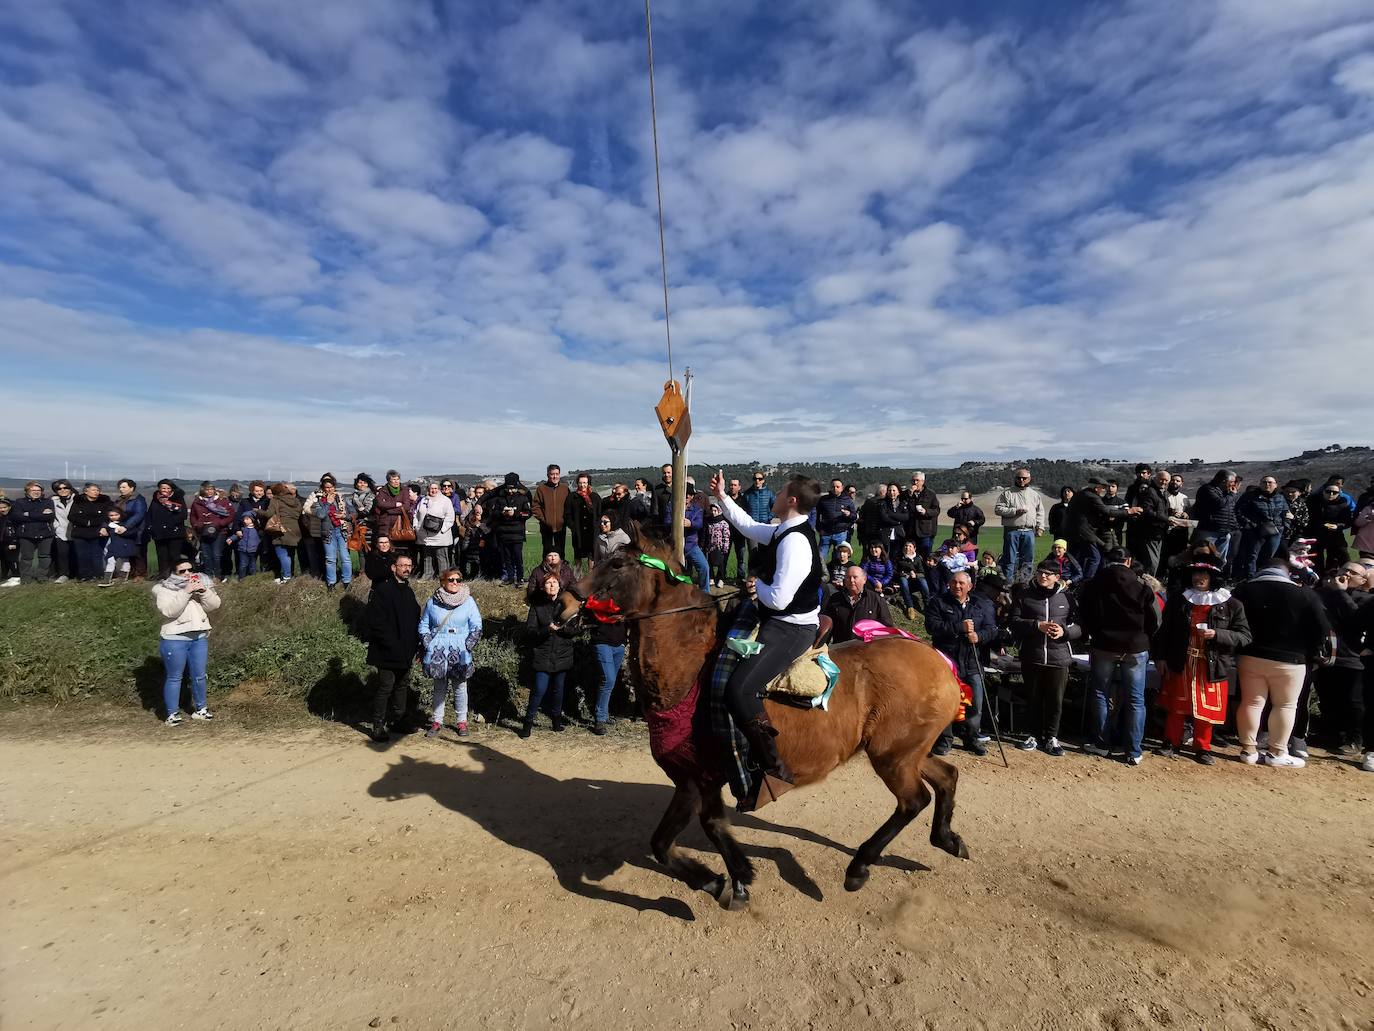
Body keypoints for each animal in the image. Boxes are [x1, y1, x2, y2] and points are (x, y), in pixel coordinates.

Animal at [557, 533, 967, 912]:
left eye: (617, 565)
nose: (564, 601)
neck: (690, 672)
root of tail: (937, 660)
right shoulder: (692, 778)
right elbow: (667, 841)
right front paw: (723, 880)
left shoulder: (702, 776)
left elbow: (706, 828)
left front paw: (729, 878)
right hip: (907, 751)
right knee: (946, 776)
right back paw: (948, 839)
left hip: (893, 757)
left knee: (913, 801)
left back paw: (859, 867)